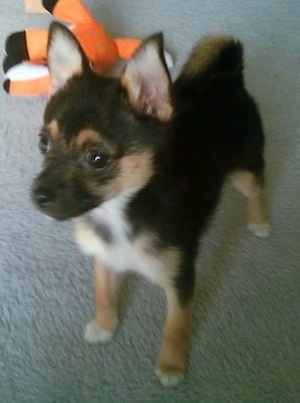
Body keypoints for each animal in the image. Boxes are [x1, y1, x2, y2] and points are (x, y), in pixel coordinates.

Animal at [31, 22, 270, 388]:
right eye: (44, 143)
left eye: (97, 159)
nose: (37, 195)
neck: (119, 210)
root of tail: (228, 77)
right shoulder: (104, 258)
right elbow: (103, 292)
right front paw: (104, 325)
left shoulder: (181, 279)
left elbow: (177, 323)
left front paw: (171, 365)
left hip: (243, 167)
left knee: (257, 184)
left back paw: (259, 220)